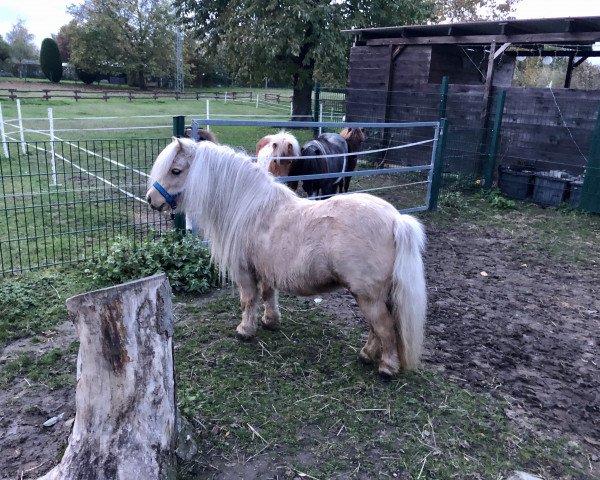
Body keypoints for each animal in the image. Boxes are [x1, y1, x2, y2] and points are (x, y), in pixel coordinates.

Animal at [145, 137, 426, 376]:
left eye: (176, 171)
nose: (151, 199)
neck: (250, 207)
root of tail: (395, 219)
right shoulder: (266, 270)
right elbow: (269, 296)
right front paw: (270, 322)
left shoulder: (245, 272)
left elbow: (248, 301)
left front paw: (245, 331)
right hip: (374, 296)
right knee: (377, 328)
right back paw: (367, 355)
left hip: (368, 296)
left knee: (385, 328)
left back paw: (386, 367)